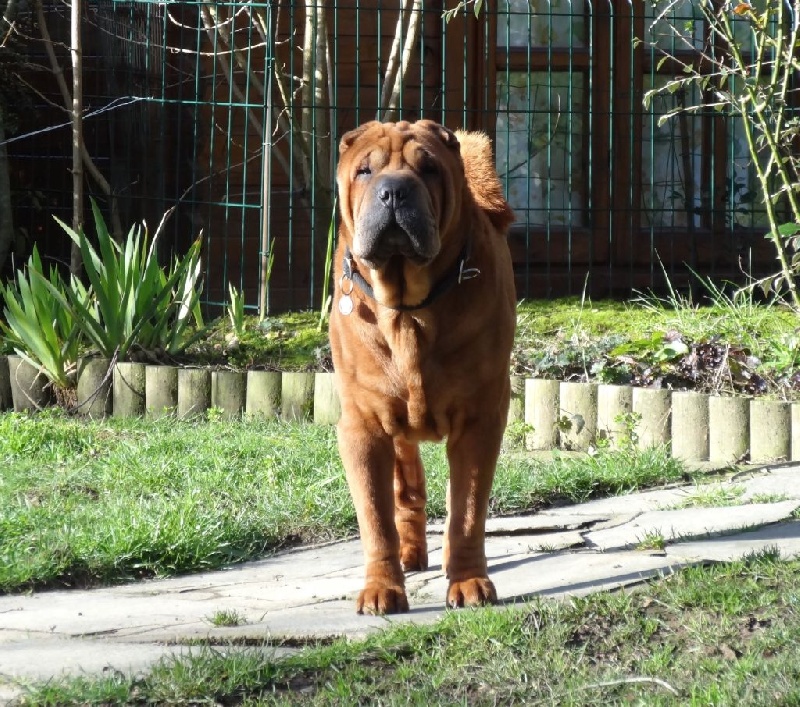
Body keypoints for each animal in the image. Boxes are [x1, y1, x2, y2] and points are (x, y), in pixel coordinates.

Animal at [332, 120, 520, 612]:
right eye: (365, 170)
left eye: (429, 169)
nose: (394, 191)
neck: (408, 311)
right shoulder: (363, 427)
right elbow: (375, 518)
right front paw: (382, 587)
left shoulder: (479, 421)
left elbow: (467, 512)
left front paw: (469, 582)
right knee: (406, 491)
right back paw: (409, 555)